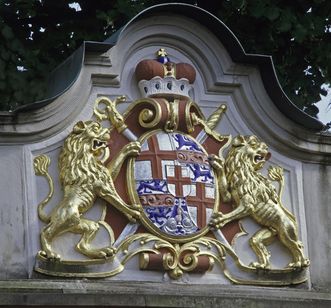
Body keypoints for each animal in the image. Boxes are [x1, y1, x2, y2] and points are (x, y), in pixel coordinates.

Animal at [34, 120, 141, 260]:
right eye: (95, 128)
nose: (108, 131)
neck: (85, 158)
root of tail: (51, 215)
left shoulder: (106, 177)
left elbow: (119, 199)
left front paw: (130, 148)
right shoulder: (103, 188)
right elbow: (117, 201)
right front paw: (134, 212)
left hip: (85, 225)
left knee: (80, 246)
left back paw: (101, 252)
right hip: (68, 220)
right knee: (45, 232)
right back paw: (51, 253)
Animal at [210, 135, 312, 270]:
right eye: (253, 143)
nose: (267, 147)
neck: (243, 170)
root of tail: (293, 221)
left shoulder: (248, 205)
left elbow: (232, 214)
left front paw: (218, 220)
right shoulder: (230, 196)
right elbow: (225, 192)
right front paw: (218, 165)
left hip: (286, 233)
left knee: (297, 247)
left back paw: (300, 263)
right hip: (271, 232)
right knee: (257, 243)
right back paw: (263, 265)